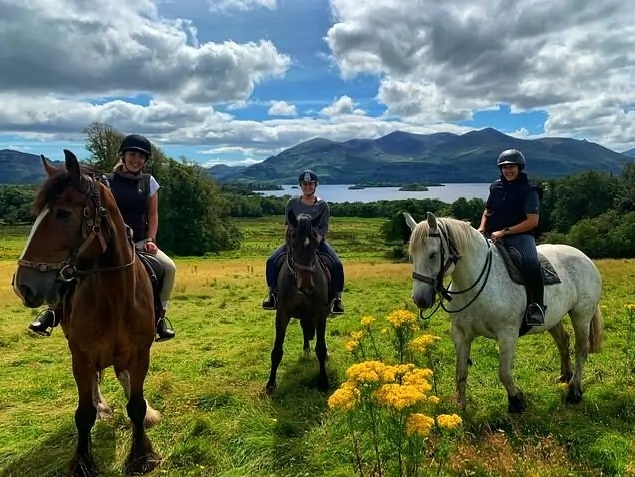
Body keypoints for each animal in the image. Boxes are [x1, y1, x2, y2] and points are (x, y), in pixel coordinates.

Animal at [11, 150, 161, 476]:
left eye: (63, 213)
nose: (22, 286)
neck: (116, 297)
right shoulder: (81, 355)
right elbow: (84, 412)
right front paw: (82, 461)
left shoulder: (140, 354)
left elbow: (136, 406)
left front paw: (141, 456)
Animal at [264, 210, 332, 392]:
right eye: (293, 244)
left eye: (315, 244)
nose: (307, 285)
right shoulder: (282, 314)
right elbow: (276, 351)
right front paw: (270, 384)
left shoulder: (320, 313)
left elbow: (320, 348)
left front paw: (323, 381)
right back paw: (306, 350)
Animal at [404, 212, 604, 412]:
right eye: (412, 255)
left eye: (433, 254)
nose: (420, 299)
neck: (476, 285)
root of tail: (584, 257)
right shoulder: (461, 335)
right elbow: (460, 372)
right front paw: (461, 407)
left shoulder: (508, 334)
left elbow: (504, 372)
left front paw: (516, 401)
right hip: (553, 319)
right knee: (563, 342)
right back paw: (565, 377)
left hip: (581, 316)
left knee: (581, 349)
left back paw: (574, 390)